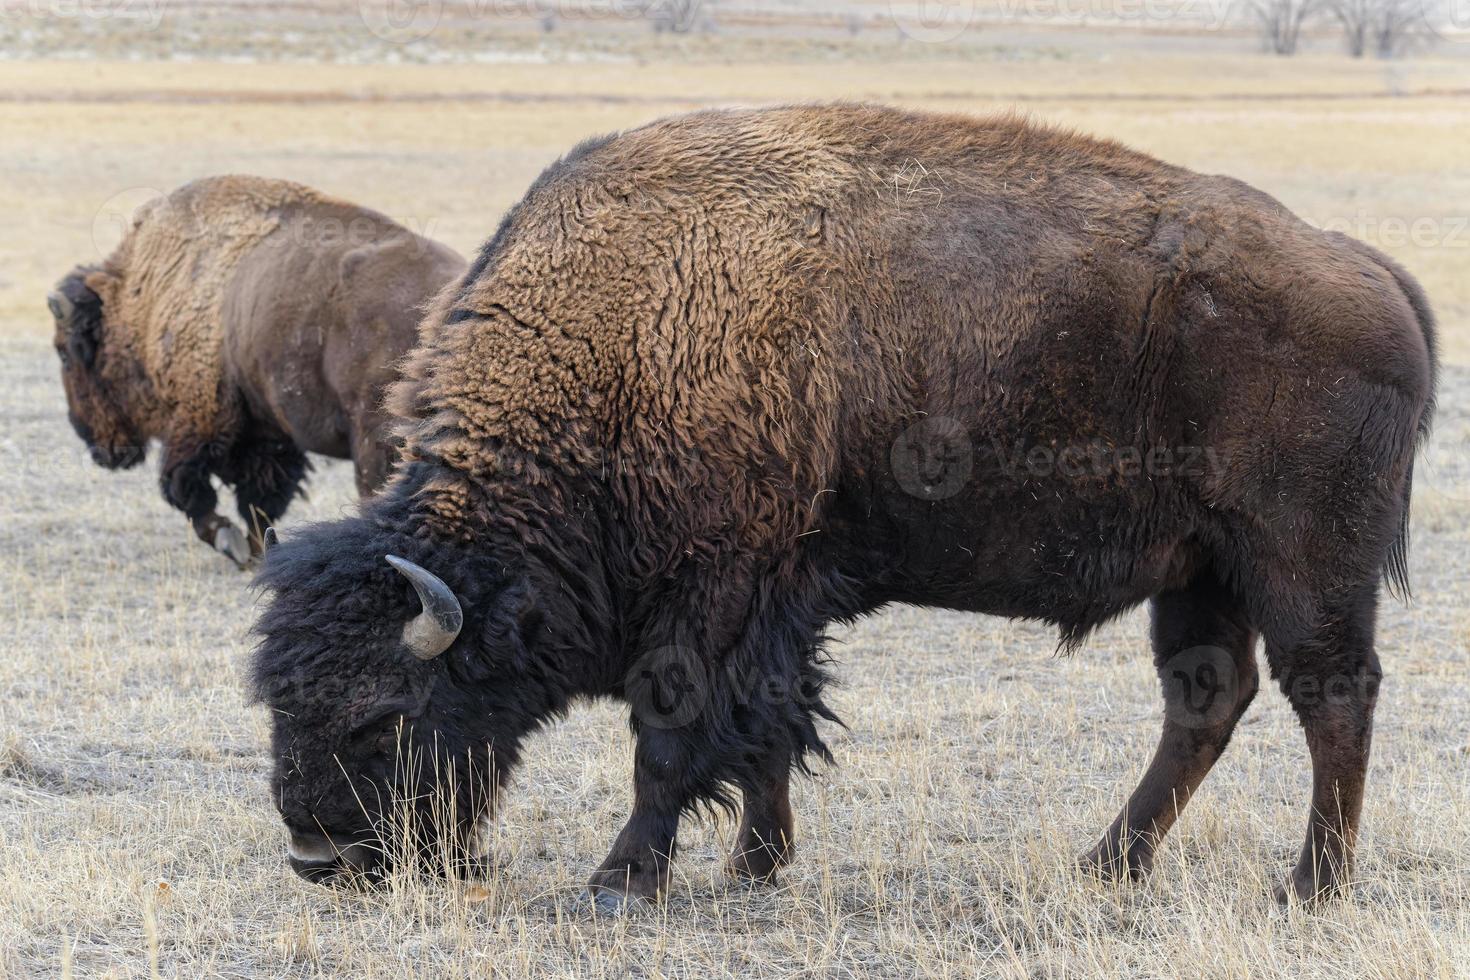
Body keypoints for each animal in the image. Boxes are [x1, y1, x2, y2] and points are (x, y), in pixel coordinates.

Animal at [51, 176, 461, 567]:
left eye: (66, 354)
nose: (95, 444)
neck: (146, 296)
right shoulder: (267, 434)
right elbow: (259, 499)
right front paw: (256, 550)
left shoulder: (202, 418)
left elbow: (187, 488)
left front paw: (229, 542)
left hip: (378, 442)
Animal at [249, 103, 1434, 910]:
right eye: (274, 700)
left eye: (382, 715)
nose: (316, 858)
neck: (626, 338)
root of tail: (1369, 270)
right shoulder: (783, 597)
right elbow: (771, 724)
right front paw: (756, 861)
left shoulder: (713, 591)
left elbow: (670, 732)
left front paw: (622, 878)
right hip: (1199, 572)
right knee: (1206, 700)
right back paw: (1108, 862)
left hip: (1299, 563)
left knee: (1332, 693)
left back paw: (1310, 883)